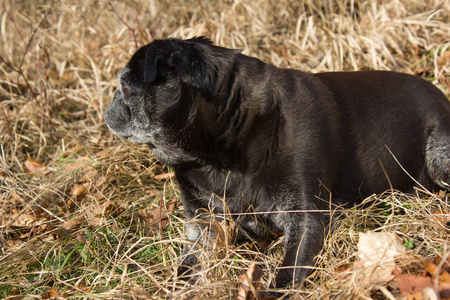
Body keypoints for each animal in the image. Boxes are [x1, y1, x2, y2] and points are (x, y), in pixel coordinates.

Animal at [105, 37, 450, 288]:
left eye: (126, 87)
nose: (108, 108)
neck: (219, 154)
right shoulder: (204, 228)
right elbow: (185, 269)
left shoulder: (305, 220)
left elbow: (285, 276)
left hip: (440, 159)